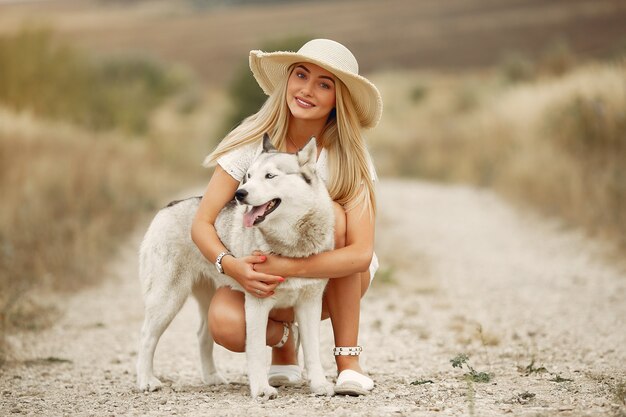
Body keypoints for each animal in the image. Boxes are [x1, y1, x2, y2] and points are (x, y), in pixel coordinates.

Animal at [135, 135, 334, 398]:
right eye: (248, 176)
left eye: (270, 176)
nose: (240, 193)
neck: (290, 246)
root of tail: (170, 205)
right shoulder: (257, 304)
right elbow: (257, 351)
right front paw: (261, 389)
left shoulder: (310, 303)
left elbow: (313, 352)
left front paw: (319, 384)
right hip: (167, 298)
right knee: (146, 336)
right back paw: (146, 380)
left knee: (202, 335)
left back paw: (212, 377)